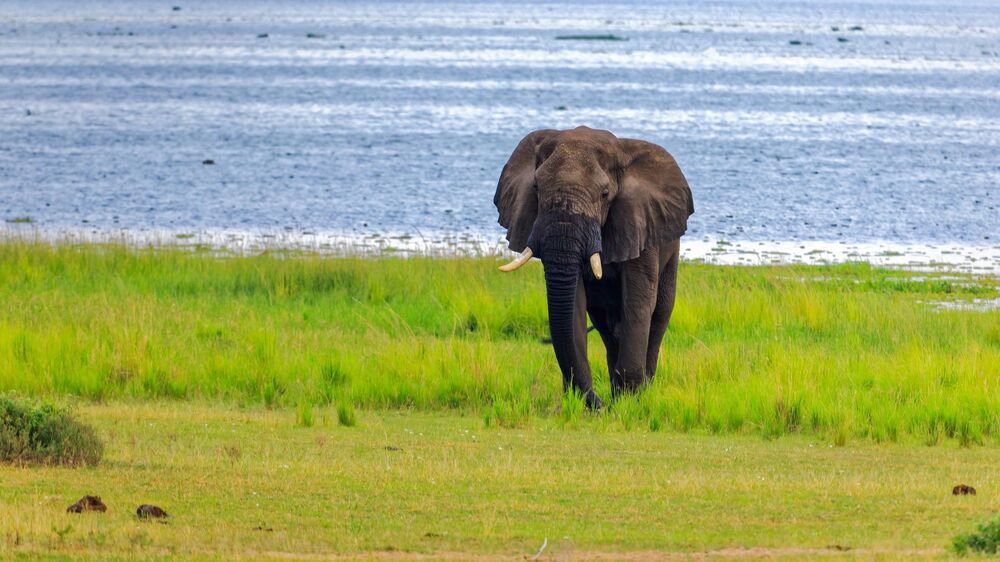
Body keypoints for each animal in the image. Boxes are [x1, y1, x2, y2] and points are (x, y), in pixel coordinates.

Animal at [494, 126, 694, 409]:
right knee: (607, 327)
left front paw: (629, 402)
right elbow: (574, 302)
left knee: (659, 316)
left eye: (605, 194)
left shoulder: (639, 220)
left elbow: (638, 300)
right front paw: (585, 402)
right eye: (536, 187)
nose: (600, 405)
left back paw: (641, 390)